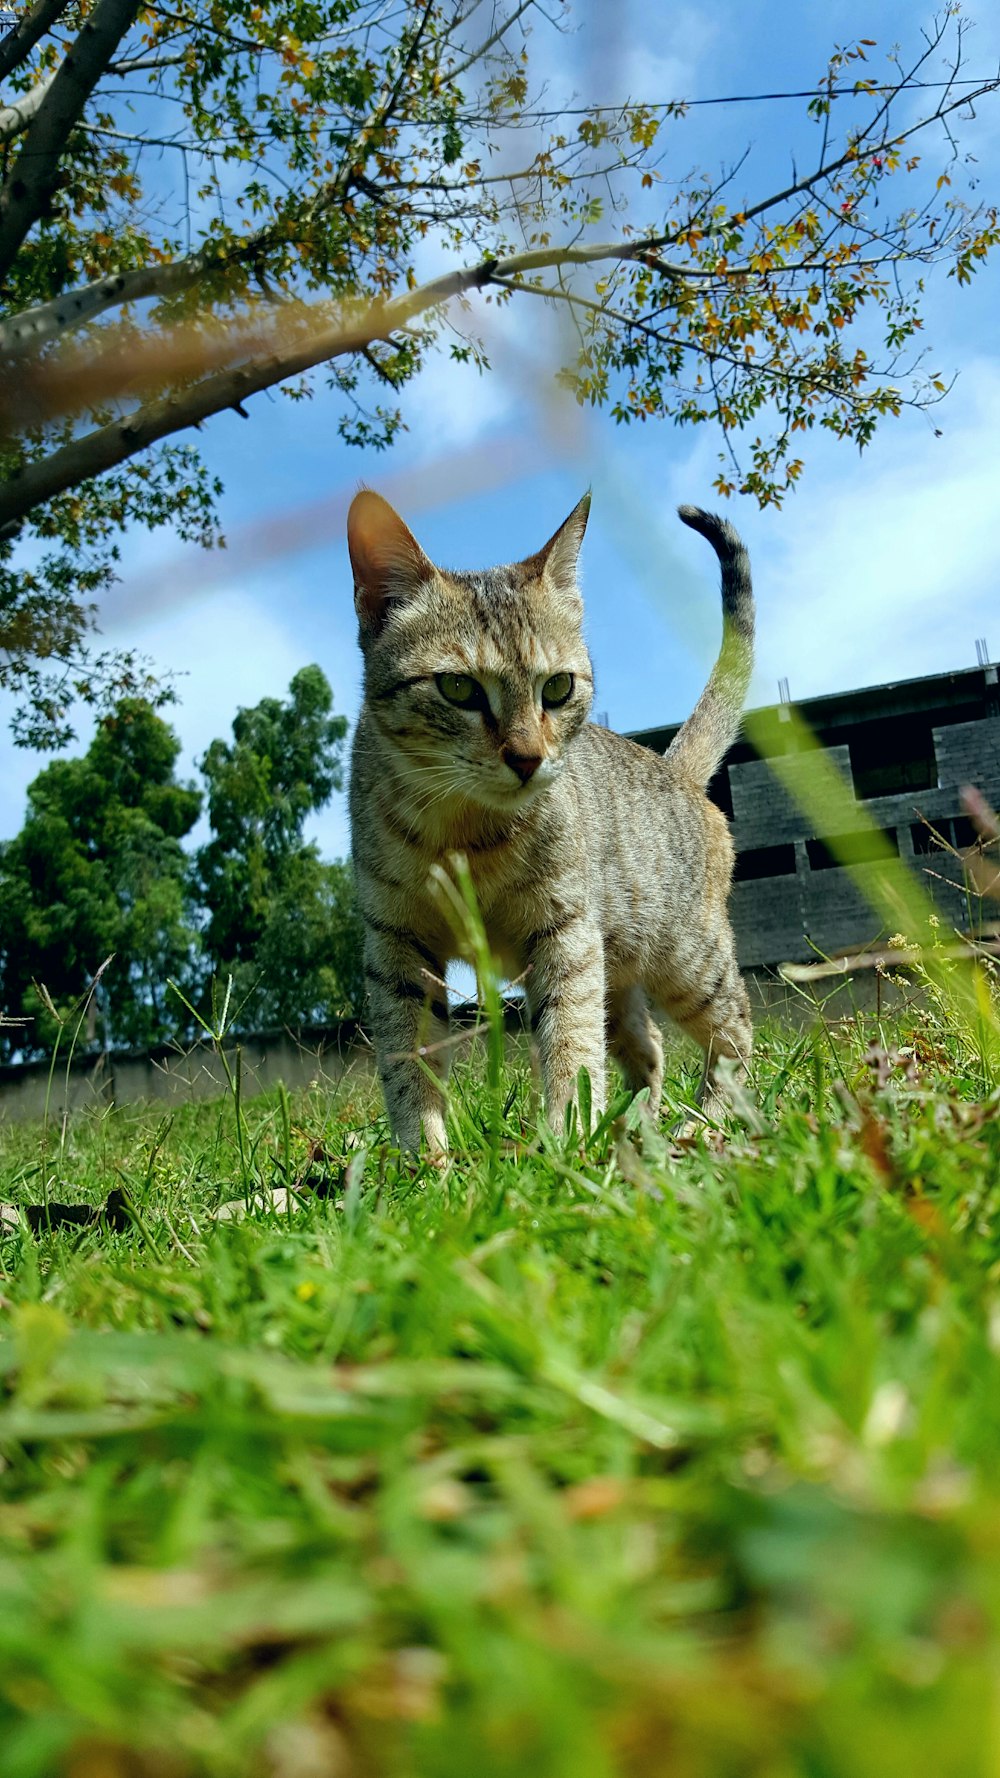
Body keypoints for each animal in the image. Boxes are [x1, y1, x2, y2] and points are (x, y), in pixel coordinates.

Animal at [346, 490, 750, 1152]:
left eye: (557, 688)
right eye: (458, 689)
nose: (528, 758)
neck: (465, 834)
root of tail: (678, 772)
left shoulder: (566, 932)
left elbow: (568, 1043)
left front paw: (567, 1141)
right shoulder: (397, 946)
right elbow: (407, 1062)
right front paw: (423, 1160)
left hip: (687, 961)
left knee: (736, 1035)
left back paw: (707, 1122)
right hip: (622, 975)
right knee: (650, 1048)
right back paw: (639, 1127)